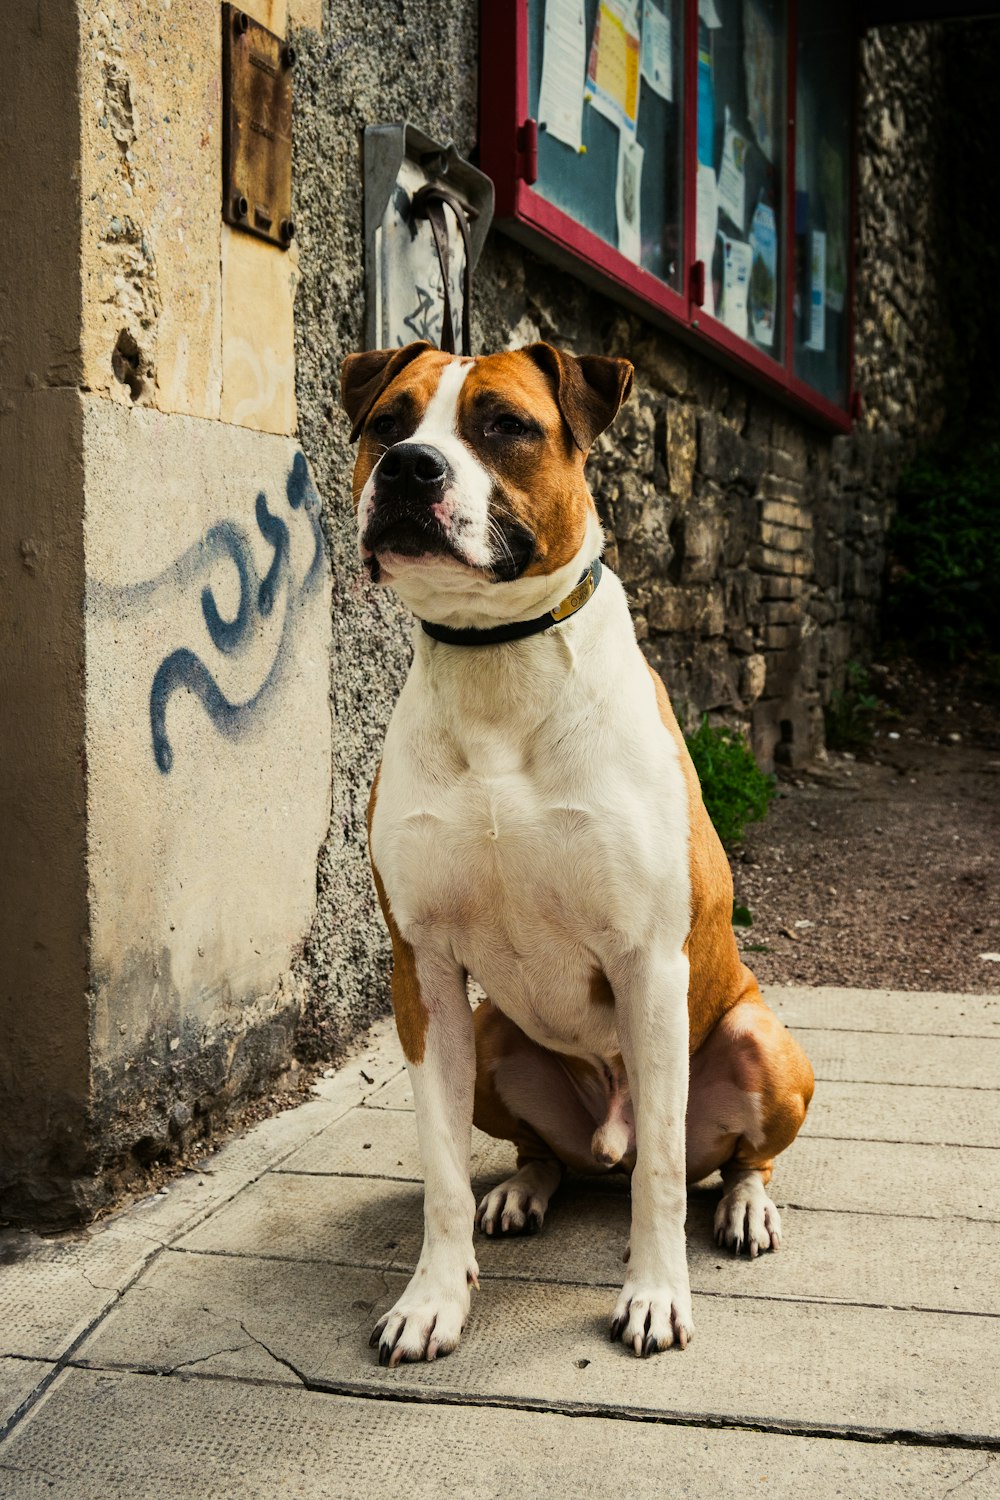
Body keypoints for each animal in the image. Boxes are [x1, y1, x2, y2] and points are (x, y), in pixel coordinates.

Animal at [341, 343, 815, 1374]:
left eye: (506, 425)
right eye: (386, 423)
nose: (410, 468)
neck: (495, 663)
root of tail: (609, 1144)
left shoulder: (649, 963)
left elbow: (667, 1176)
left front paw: (656, 1295)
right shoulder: (421, 970)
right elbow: (440, 1168)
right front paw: (433, 1299)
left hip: (758, 1043)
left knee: (718, 1159)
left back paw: (746, 1206)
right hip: (491, 1041)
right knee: (548, 1153)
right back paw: (524, 1190)